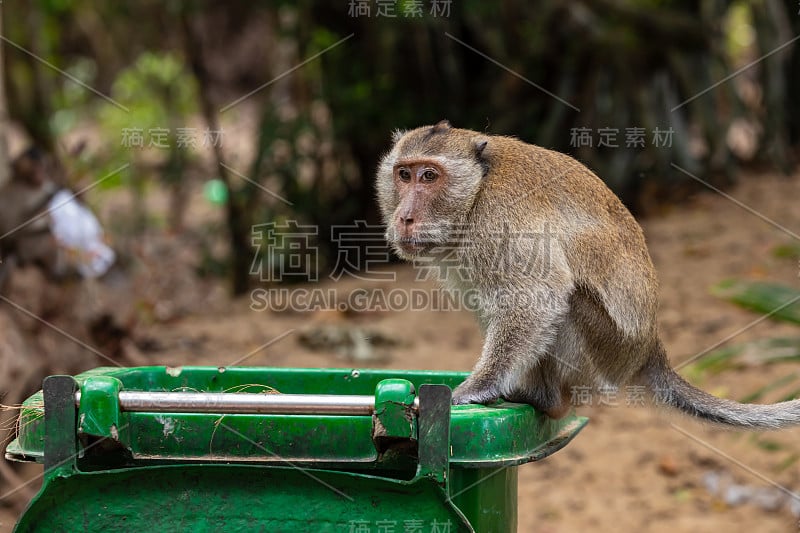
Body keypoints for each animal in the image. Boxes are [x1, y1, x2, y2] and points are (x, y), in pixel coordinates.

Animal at [376, 120, 800, 428]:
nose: (405, 217)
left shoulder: (501, 217)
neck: (476, 191)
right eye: (404, 175)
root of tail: (649, 347)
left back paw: (547, 398)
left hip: (604, 353)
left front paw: (476, 389)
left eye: (429, 176)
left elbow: (539, 295)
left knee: (568, 302)